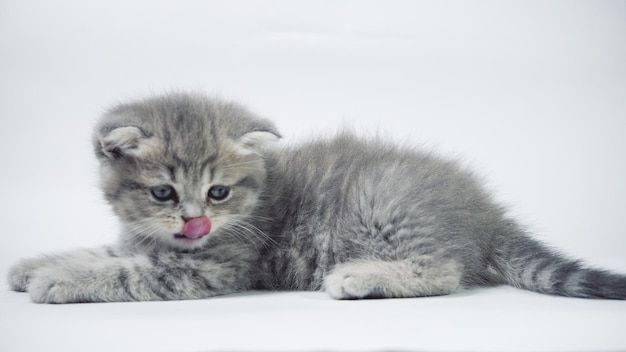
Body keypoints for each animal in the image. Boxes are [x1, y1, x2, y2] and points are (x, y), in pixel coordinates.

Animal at [6, 93, 624, 302]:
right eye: (163, 192)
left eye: (217, 192)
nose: (194, 224)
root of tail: (487, 215)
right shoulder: (144, 240)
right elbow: (105, 252)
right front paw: (33, 264)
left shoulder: (211, 269)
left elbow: (124, 272)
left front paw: (58, 281)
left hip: (383, 206)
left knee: (444, 270)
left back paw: (359, 277)